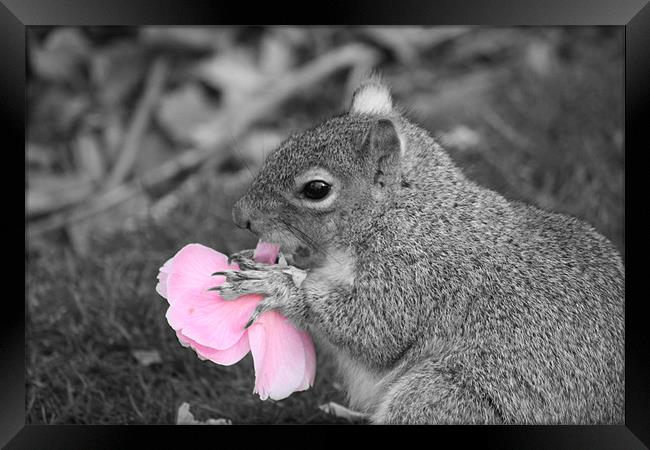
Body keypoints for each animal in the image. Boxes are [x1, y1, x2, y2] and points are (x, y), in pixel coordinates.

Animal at [213, 75, 624, 424]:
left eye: (316, 189)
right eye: (282, 147)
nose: (239, 215)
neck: (405, 211)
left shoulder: (416, 275)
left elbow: (373, 329)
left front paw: (276, 284)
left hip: (440, 398)